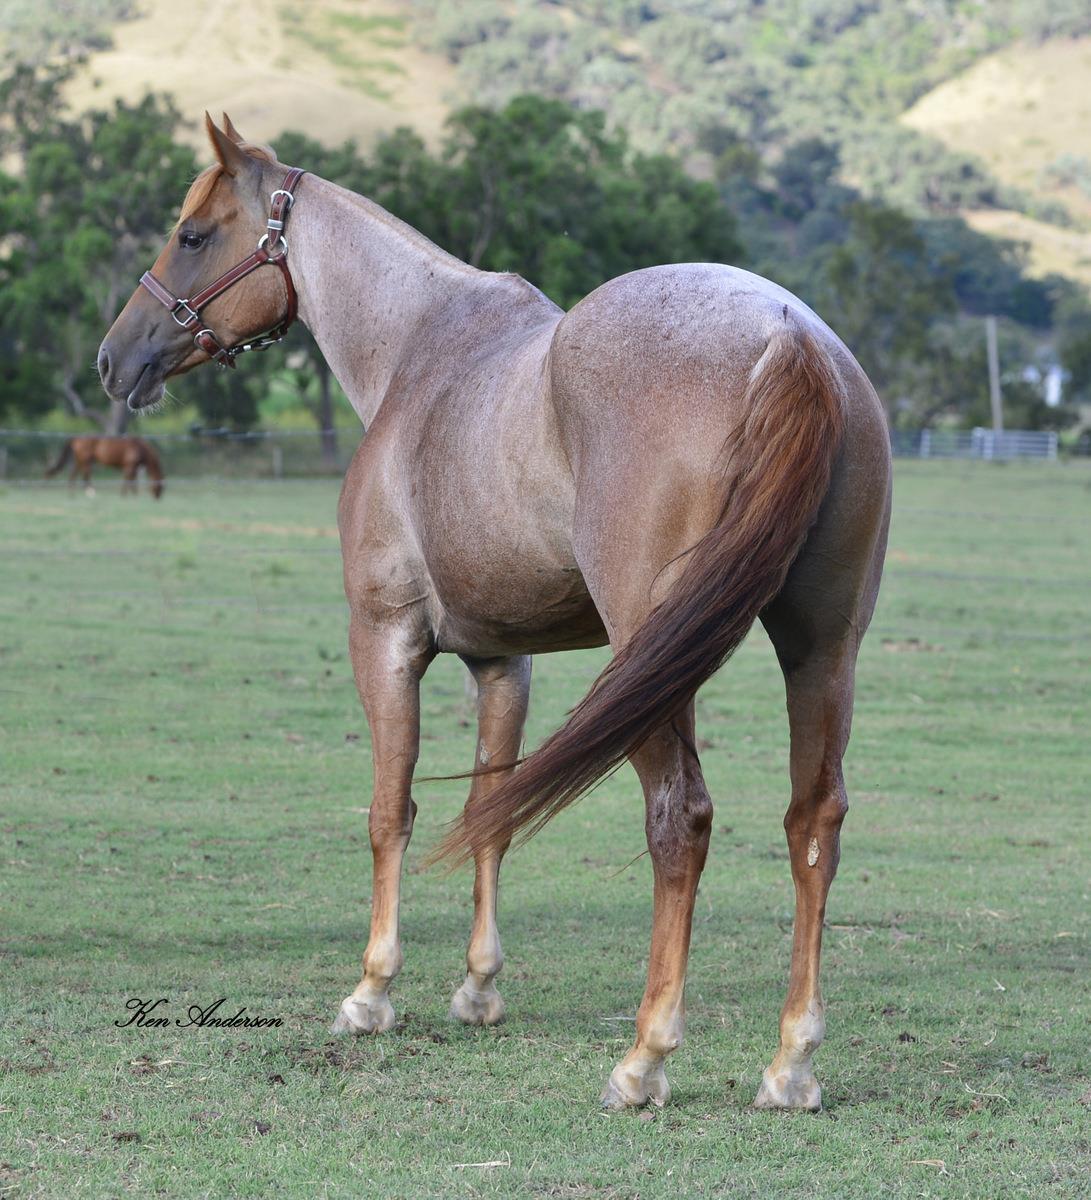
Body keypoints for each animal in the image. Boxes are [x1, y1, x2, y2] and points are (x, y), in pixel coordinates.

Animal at [97, 114, 891, 1112]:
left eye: (193, 234)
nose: (115, 358)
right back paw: (790, 1063)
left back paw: (644, 1059)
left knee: (679, 820)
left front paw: (372, 992)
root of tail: (786, 335)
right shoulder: (499, 661)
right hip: (820, 648)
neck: (420, 351)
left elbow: (389, 809)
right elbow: (490, 808)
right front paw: (478, 987)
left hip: (652, 656)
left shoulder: (386, 639)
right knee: (812, 820)